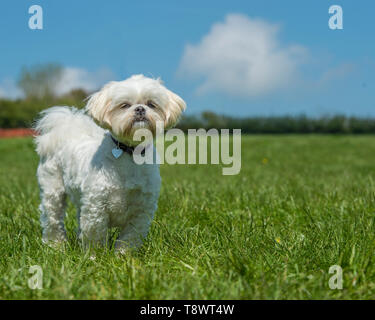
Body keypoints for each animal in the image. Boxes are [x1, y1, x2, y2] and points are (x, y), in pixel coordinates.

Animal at [35, 75, 187, 250]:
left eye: (151, 104)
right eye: (125, 105)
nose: (140, 109)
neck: (130, 154)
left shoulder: (141, 211)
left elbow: (130, 238)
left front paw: (123, 255)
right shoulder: (96, 207)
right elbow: (95, 237)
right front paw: (95, 255)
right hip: (52, 190)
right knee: (52, 218)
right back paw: (55, 245)